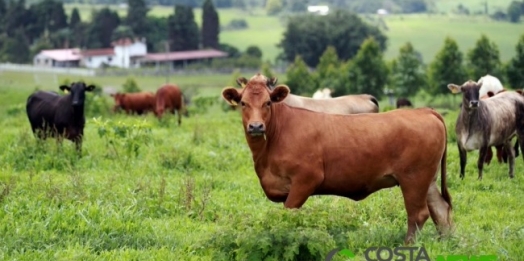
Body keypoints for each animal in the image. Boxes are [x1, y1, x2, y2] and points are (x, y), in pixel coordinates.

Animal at [220, 73, 450, 244]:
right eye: (243, 103)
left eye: (268, 102)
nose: (256, 126)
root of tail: (425, 111)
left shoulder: (306, 180)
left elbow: (290, 214)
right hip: (427, 180)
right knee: (440, 209)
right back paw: (447, 242)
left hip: (414, 179)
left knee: (418, 214)